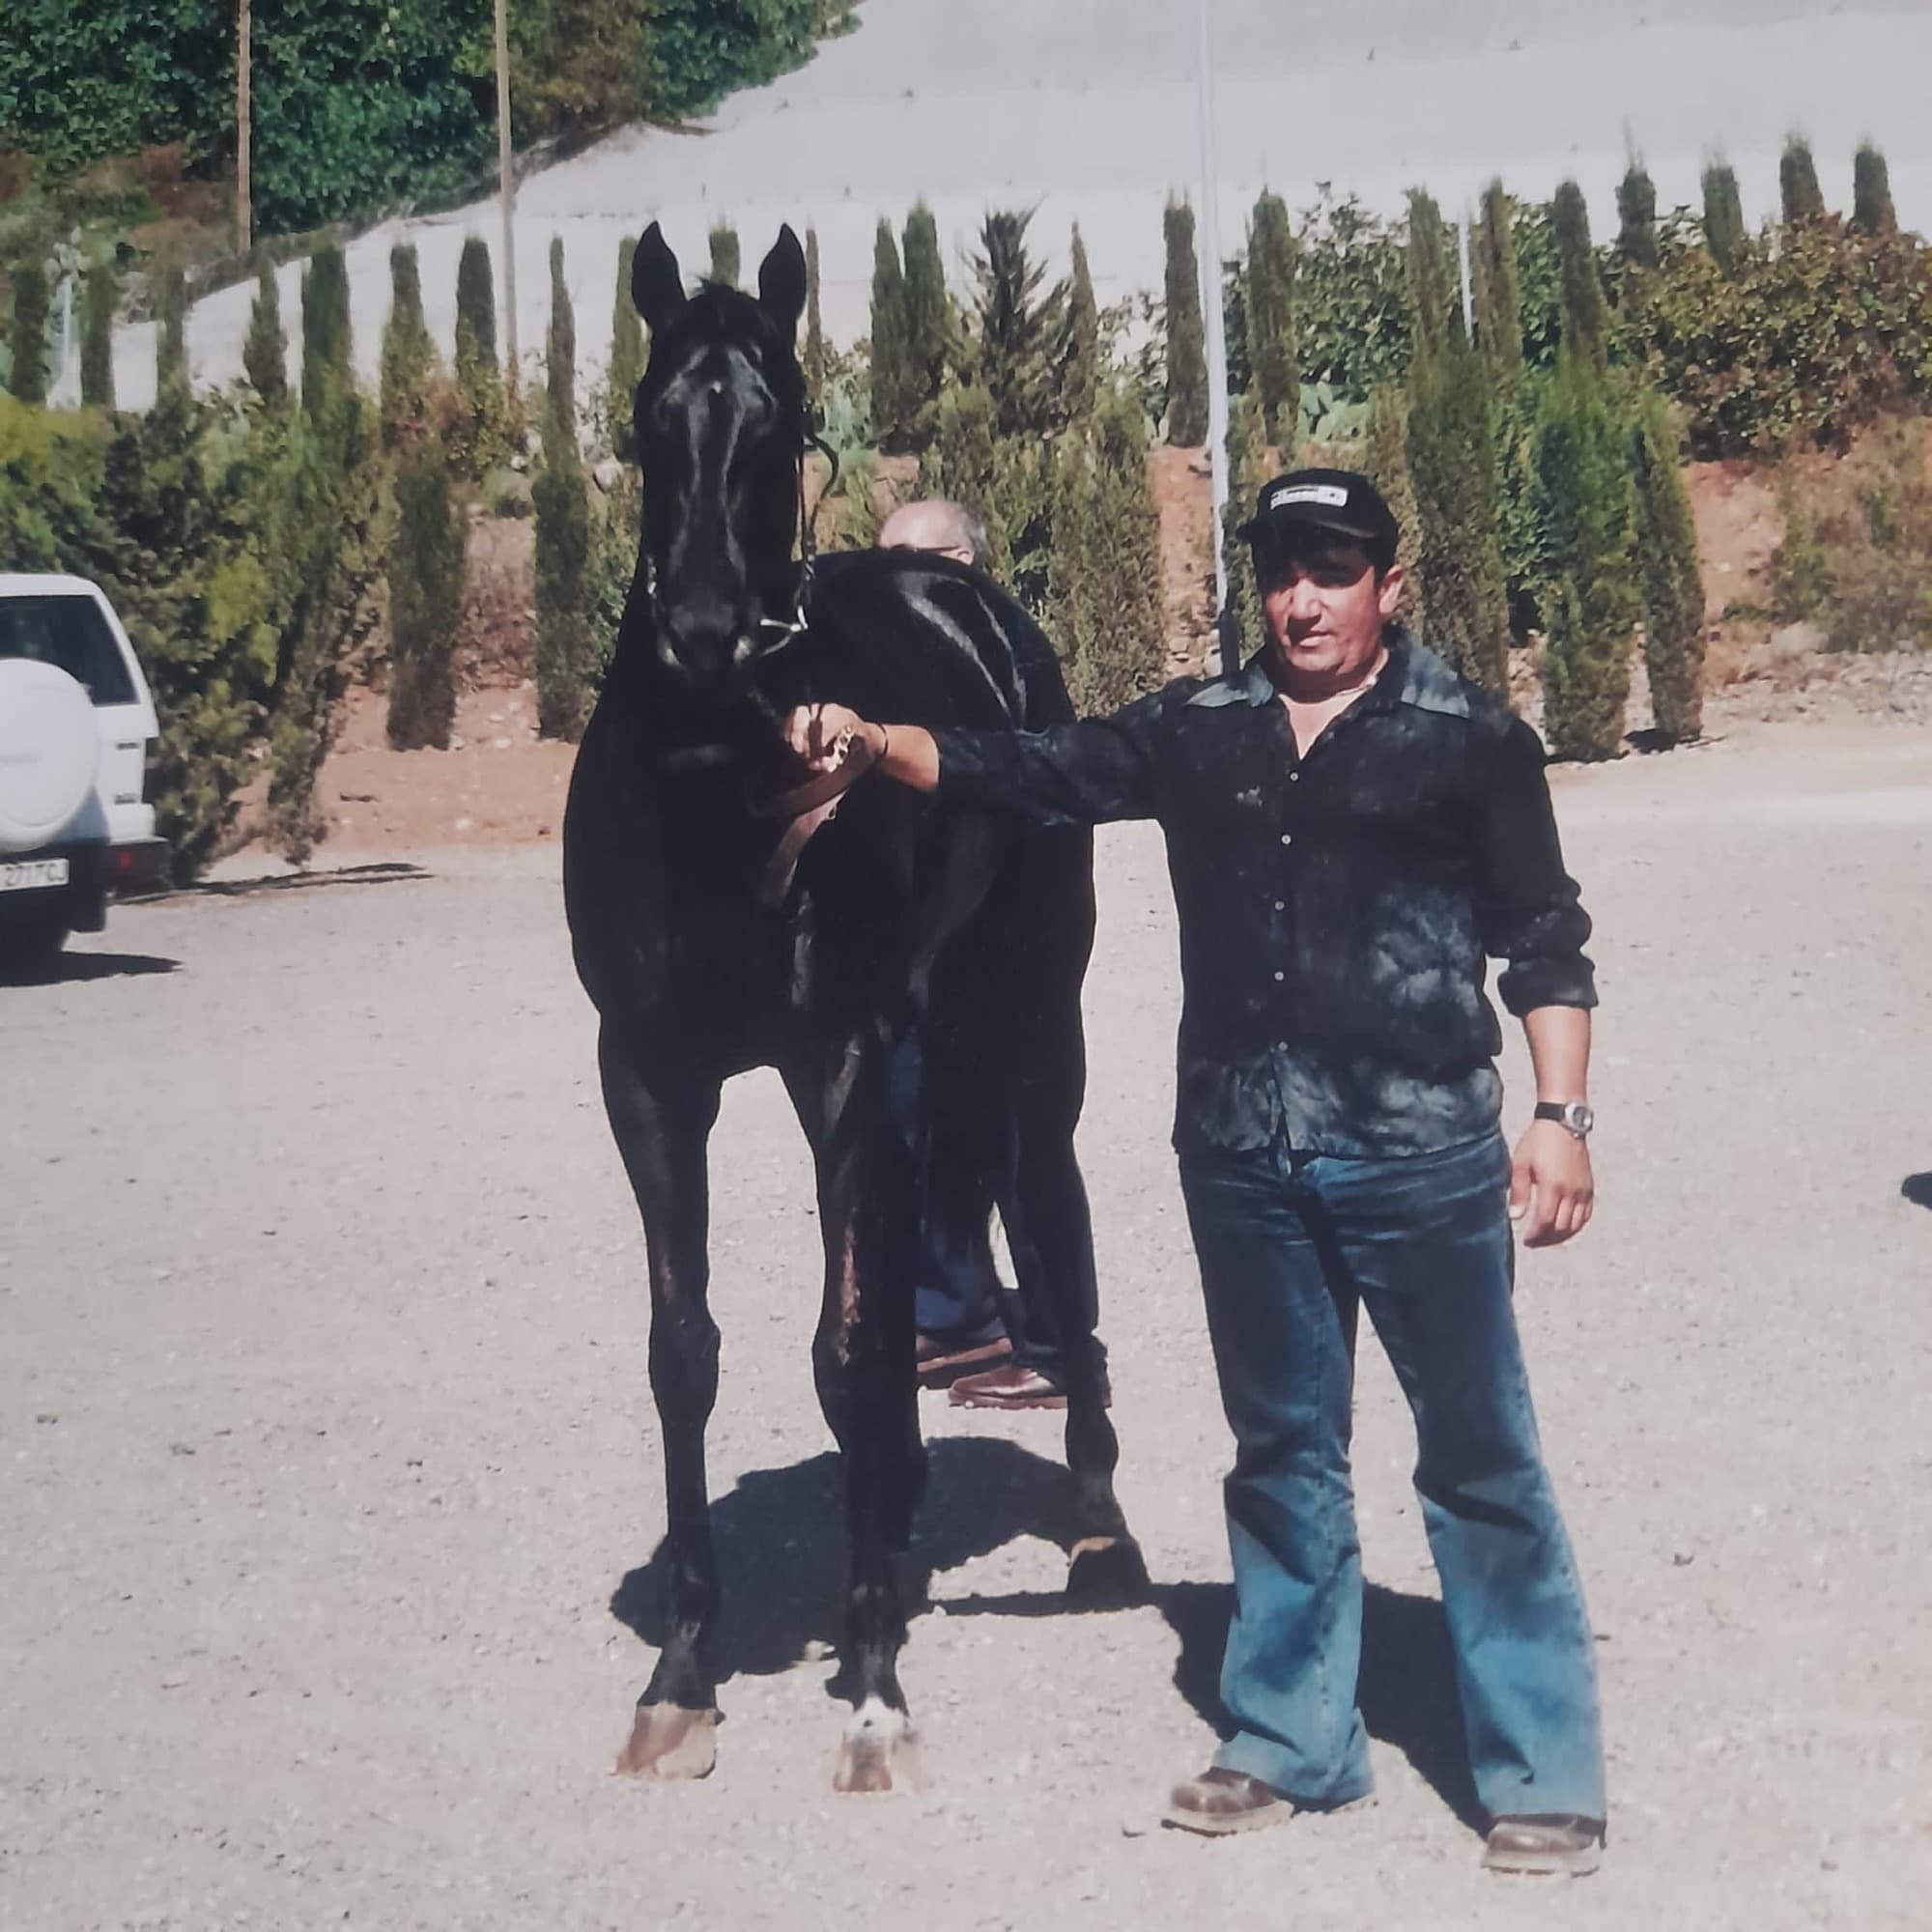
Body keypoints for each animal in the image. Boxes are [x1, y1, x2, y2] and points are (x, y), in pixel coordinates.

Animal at [562, 224, 1146, 1793]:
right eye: (649, 421)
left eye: (776, 426)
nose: (704, 633)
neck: (718, 790)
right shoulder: (649, 1079)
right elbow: (685, 1354)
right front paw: (682, 1674)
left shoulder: (834, 1060)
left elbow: (844, 1347)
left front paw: (875, 1676)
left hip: (1027, 1037)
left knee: (1050, 1225)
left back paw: (1094, 1523)